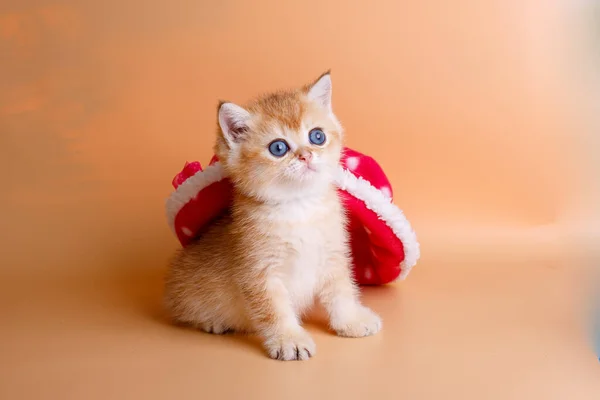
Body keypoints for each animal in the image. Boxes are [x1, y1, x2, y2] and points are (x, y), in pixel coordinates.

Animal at [163, 72, 380, 362]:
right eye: (278, 147)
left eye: (317, 136)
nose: (306, 155)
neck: (299, 208)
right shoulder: (259, 270)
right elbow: (274, 310)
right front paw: (290, 339)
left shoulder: (333, 255)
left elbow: (341, 292)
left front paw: (352, 320)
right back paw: (211, 322)